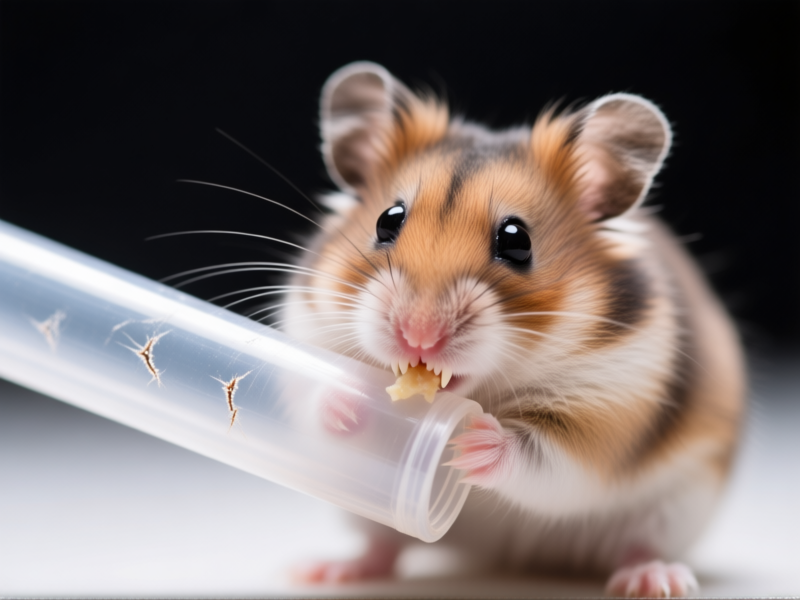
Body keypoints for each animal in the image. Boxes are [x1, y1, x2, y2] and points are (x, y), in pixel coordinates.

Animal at [282, 62, 745, 597]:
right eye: (386, 221)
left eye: (517, 240)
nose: (418, 336)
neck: (490, 388)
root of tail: (515, 559)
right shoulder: (308, 334)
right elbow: (313, 402)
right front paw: (347, 401)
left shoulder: (609, 407)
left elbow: (543, 457)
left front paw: (470, 442)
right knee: (385, 545)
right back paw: (329, 570)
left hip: (676, 506)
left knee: (640, 545)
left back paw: (654, 580)